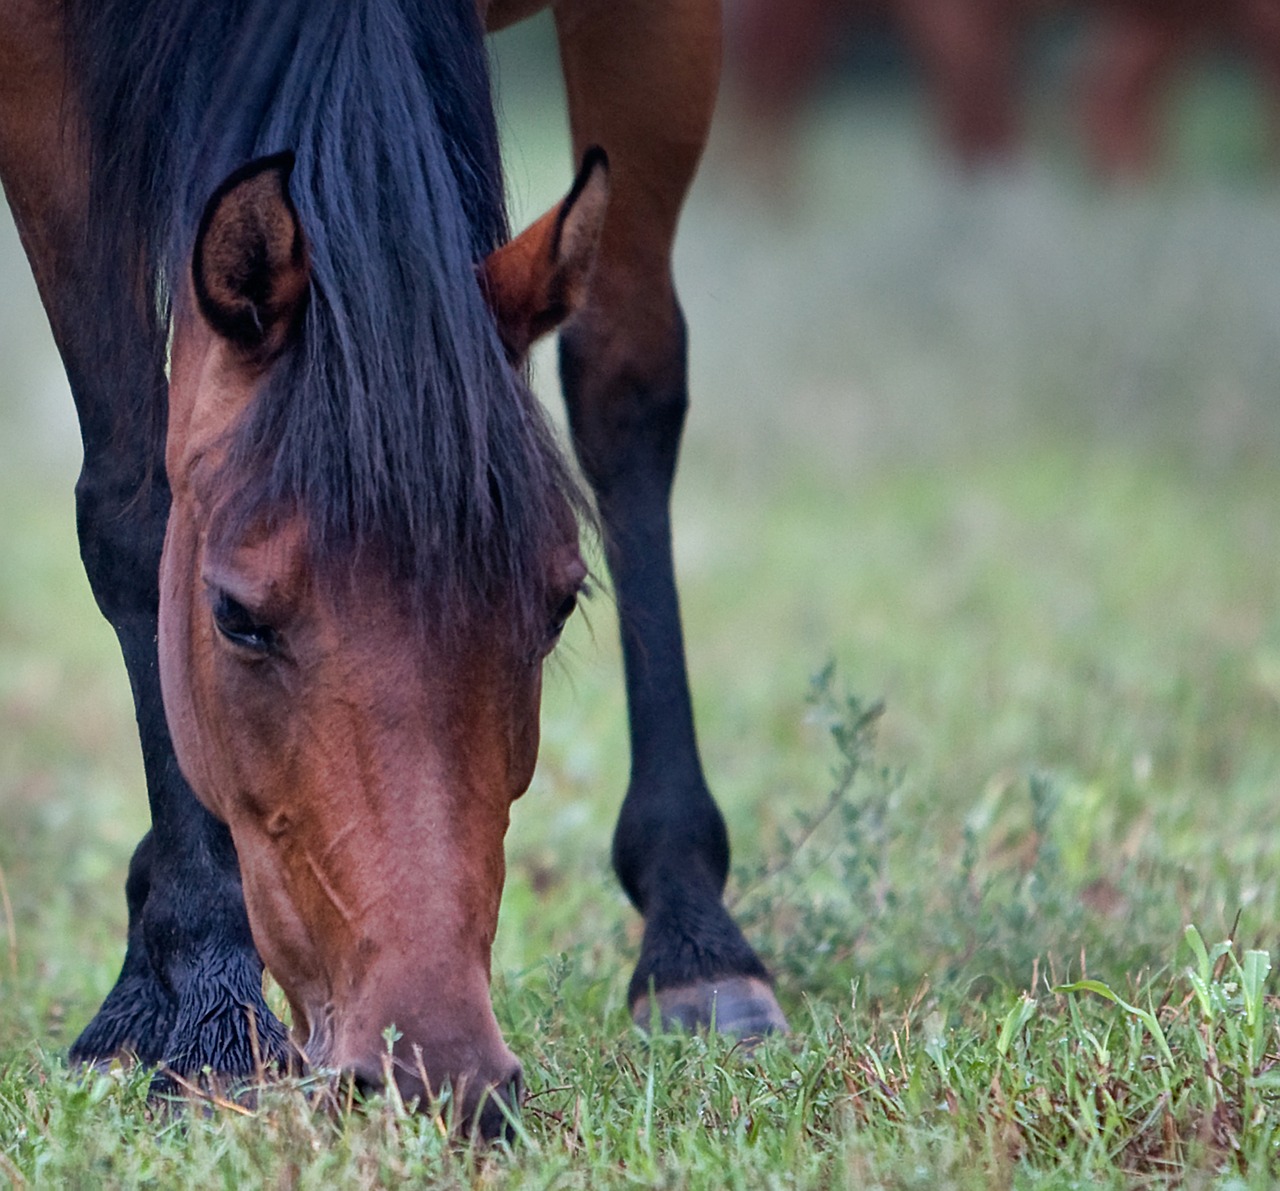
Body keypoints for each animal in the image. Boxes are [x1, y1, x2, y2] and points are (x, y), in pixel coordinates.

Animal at [0, 0, 783, 1137]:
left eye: (558, 605)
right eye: (234, 615)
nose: (436, 1070)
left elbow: (625, 389)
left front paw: (694, 943)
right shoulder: (35, 65)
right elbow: (131, 498)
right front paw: (210, 1008)